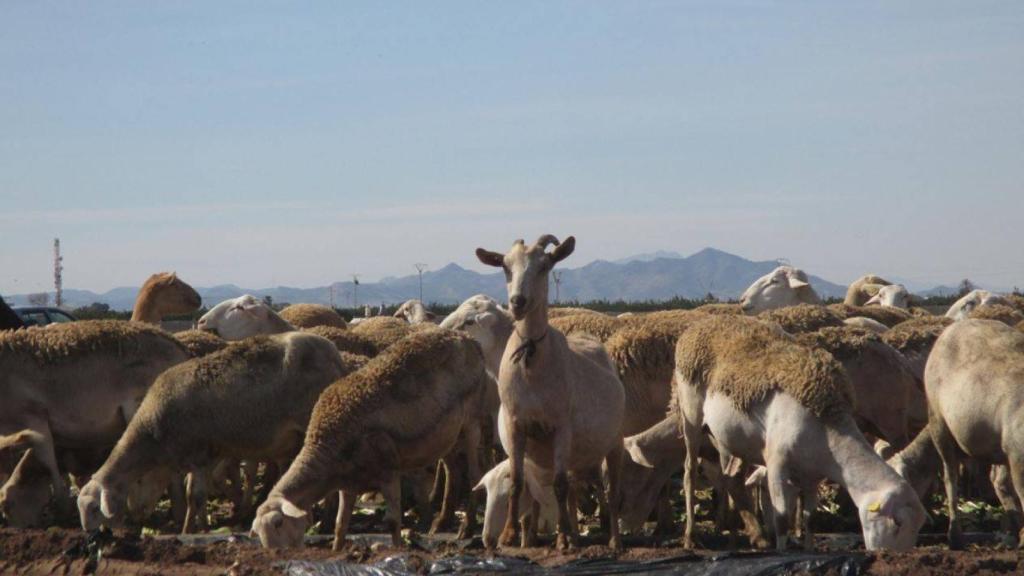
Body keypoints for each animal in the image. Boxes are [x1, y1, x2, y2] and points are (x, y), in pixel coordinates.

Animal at [0, 320, 188, 527]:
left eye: (7, 507)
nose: (17, 527)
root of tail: (179, 347)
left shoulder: (33, 419)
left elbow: (48, 462)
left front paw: (63, 511)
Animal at [77, 332, 365, 533]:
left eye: (93, 508)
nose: (91, 536)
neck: (153, 433)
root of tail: (335, 355)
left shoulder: (199, 454)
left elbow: (196, 496)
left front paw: (197, 530)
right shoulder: (201, 458)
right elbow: (195, 496)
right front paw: (191, 527)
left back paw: (325, 522)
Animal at [250, 329, 489, 550]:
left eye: (279, 523)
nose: (278, 555)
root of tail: (467, 338)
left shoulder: (388, 468)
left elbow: (393, 521)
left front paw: (398, 551)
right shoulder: (348, 482)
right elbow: (340, 524)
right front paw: (337, 551)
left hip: (471, 422)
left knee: (475, 474)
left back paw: (466, 528)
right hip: (447, 434)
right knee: (454, 471)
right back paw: (441, 523)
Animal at [476, 234, 625, 550]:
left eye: (544, 266)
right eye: (505, 266)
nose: (518, 302)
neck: (531, 360)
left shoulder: (561, 427)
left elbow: (558, 485)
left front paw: (565, 538)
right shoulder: (516, 425)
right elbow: (518, 481)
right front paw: (510, 535)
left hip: (615, 440)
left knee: (611, 490)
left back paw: (613, 541)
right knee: (581, 488)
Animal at [673, 314, 925, 551]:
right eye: (898, 523)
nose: (892, 556)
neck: (830, 431)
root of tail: (699, 325)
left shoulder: (813, 476)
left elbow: (810, 519)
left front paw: (808, 549)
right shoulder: (776, 466)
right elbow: (782, 519)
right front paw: (783, 551)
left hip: (728, 438)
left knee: (731, 479)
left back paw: (746, 538)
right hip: (691, 415)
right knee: (690, 472)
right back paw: (691, 537)